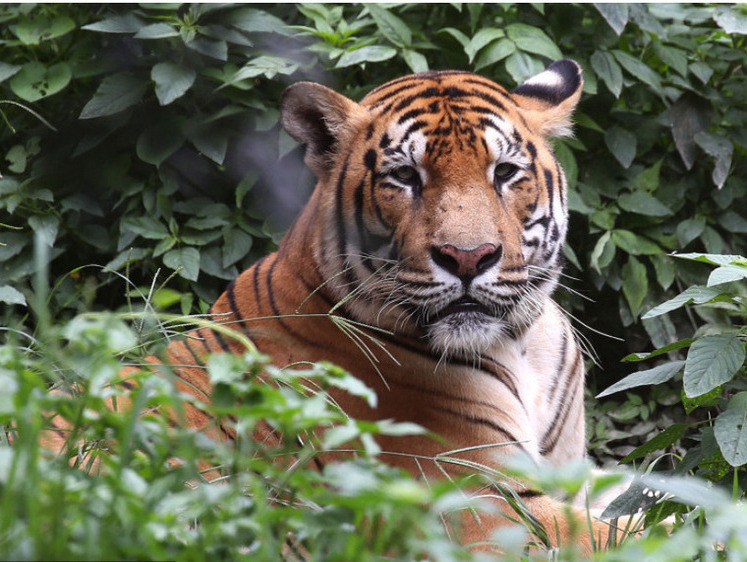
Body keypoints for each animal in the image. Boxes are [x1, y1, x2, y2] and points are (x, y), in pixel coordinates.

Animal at [49, 60, 616, 552]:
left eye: (504, 172)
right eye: (405, 177)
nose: (468, 257)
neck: (521, 344)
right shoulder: (479, 504)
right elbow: (622, 534)